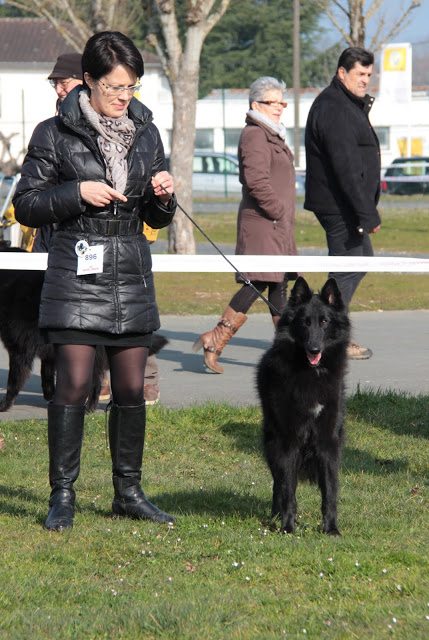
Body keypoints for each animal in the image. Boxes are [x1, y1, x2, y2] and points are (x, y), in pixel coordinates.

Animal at [0, 242, 167, 412]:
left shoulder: (19, 348)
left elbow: (13, 381)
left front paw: (4, 405)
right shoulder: (47, 349)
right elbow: (46, 374)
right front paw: (50, 396)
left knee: (94, 382)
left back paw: (89, 408)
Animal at [256, 276, 350, 536]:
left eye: (325, 321)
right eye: (305, 323)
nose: (314, 349)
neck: (310, 373)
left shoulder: (329, 441)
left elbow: (330, 491)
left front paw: (331, 529)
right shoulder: (288, 441)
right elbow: (288, 490)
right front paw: (287, 526)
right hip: (273, 442)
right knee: (279, 482)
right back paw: (276, 515)